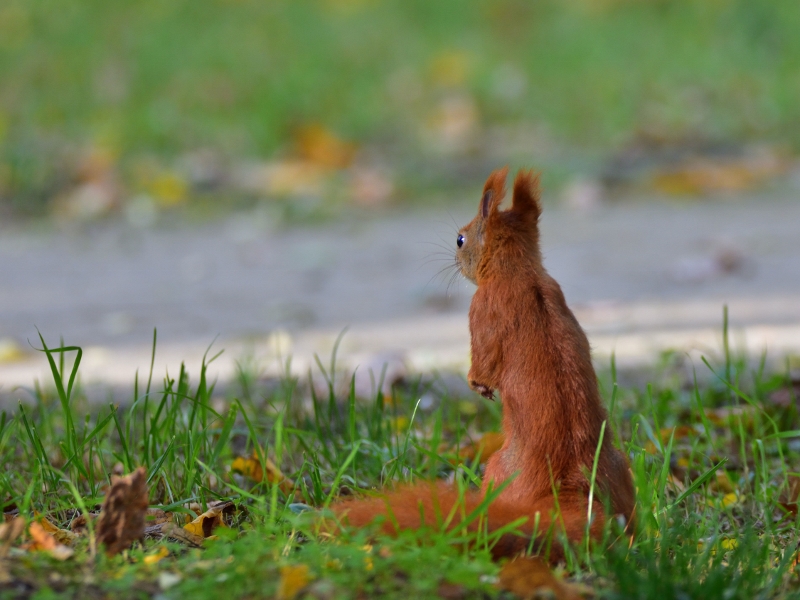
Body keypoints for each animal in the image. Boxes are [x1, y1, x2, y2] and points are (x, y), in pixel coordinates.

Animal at [328, 166, 636, 560]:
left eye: (461, 239)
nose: (455, 257)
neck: (521, 273)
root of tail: (568, 493)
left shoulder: (482, 311)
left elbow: (484, 359)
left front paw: (478, 385)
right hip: (619, 471)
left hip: (498, 472)